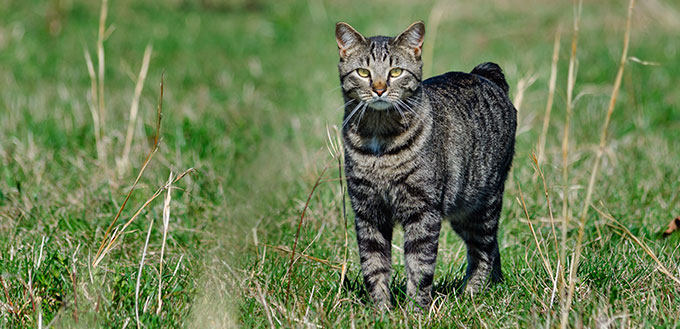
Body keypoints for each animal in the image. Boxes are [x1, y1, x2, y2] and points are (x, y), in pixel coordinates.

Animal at [334, 20, 516, 308]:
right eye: (363, 72)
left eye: (396, 72)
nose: (379, 89)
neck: (379, 139)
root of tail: (483, 74)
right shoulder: (367, 211)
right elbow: (373, 265)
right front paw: (380, 310)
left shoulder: (423, 210)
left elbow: (419, 265)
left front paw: (415, 310)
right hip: (462, 211)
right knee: (493, 247)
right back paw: (491, 286)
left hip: (482, 205)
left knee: (484, 251)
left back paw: (472, 294)